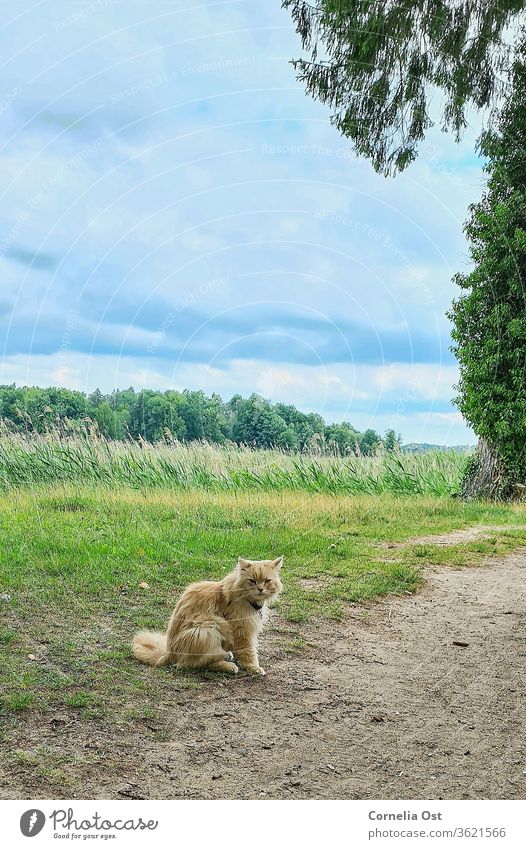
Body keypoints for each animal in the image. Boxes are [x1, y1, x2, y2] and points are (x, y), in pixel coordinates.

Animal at [132, 556, 284, 676]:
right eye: (252, 581)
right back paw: (229, 666)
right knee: (190, 664)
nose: (260, 589)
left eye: (267, 581)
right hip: (207, 628)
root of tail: (168, 653)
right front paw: (254, 668)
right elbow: (248, 652)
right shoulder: (242, 631)